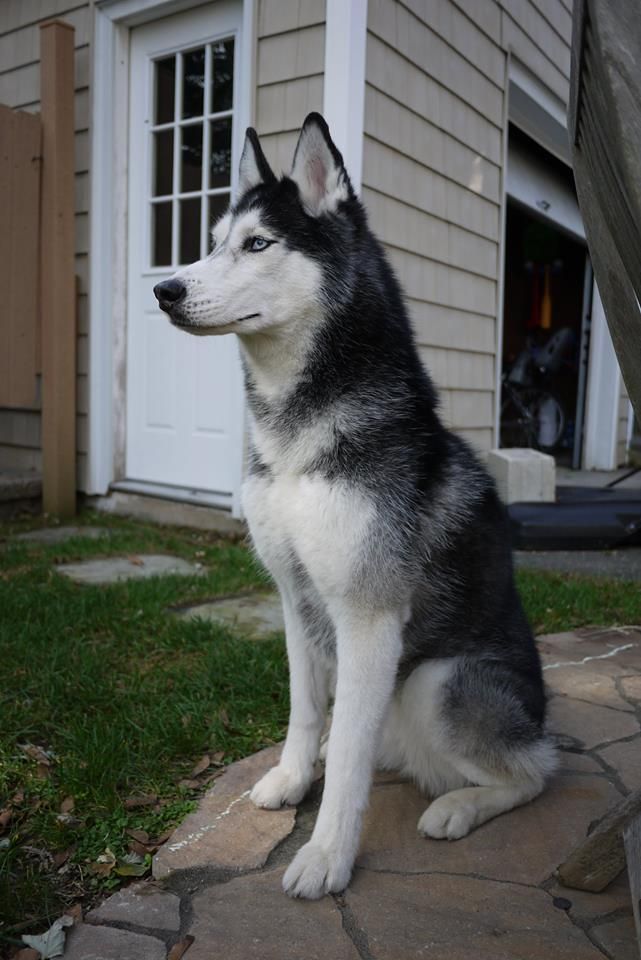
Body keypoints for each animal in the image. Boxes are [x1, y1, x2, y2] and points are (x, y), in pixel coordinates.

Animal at [154, 112, 556, 900]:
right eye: (212, 240)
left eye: (258, 244)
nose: (164, 289)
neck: (294, 434)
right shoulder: (294, 597)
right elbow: (308, 713)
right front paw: (289, 778)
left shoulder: (367, 615)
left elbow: (345, 762)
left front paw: (326, 856)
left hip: (433, 681)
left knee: (540, 769)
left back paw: (459, 807)